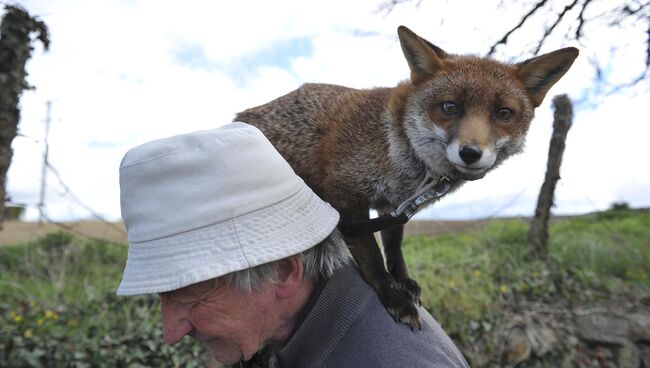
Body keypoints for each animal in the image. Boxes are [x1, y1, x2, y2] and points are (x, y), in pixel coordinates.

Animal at [234, 25, 576, 328]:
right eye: (450, 107)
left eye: (503, 113)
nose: (470, 153)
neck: (400, 147)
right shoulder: (346, 194)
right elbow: (371, 255)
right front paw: (392, 295)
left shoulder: (394, 205)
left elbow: (394, 246)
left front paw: (403, 280)